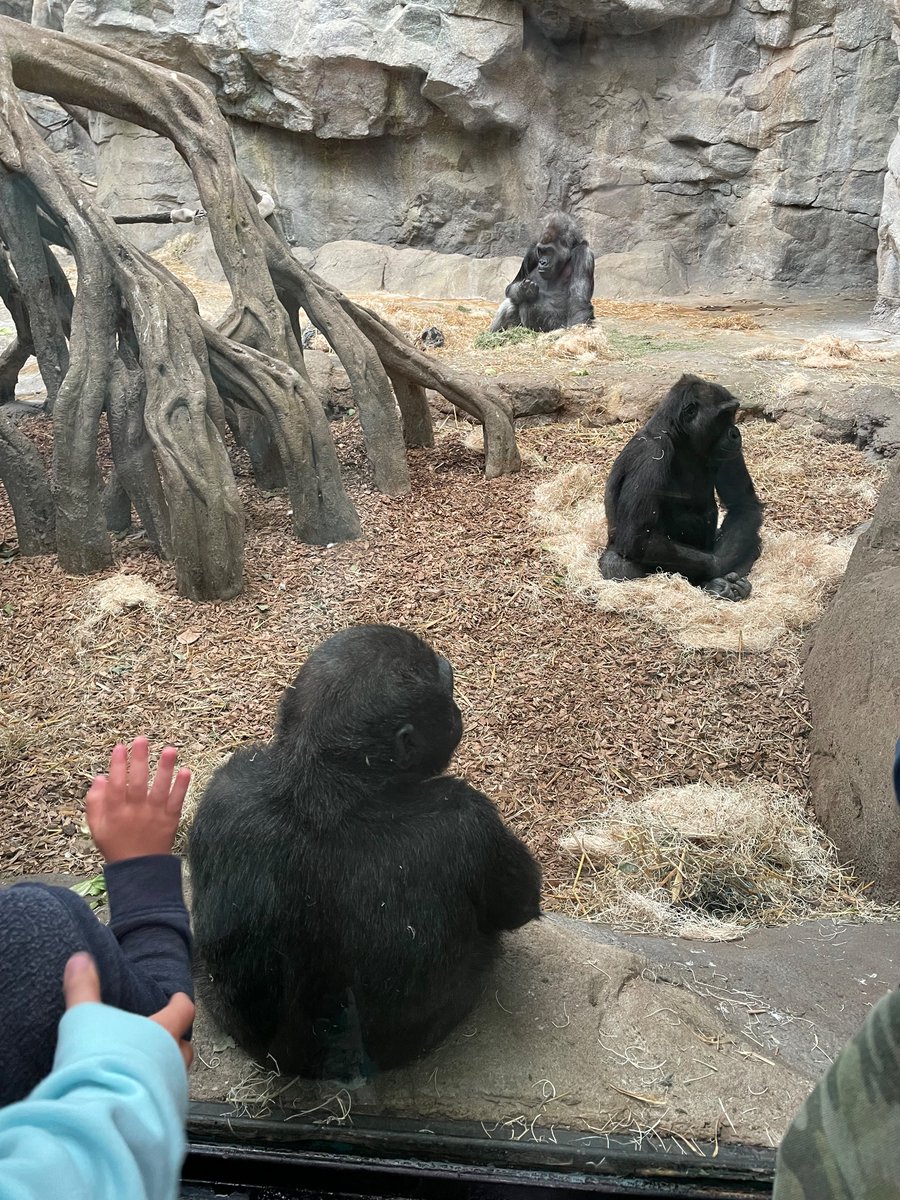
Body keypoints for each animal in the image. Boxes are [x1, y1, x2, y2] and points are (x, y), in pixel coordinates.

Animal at [602, 374, 763, 600]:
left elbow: (743, 504)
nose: (735, 433)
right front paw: (718, 570)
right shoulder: (653, 450)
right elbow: (637, 537)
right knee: (616, 564)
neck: (679, 436)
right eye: (724, 415)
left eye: (732, 414)